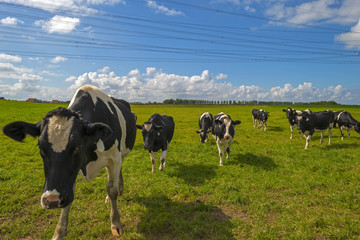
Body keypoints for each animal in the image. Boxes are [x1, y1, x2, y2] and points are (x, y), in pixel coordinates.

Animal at [1, 85, 136, 239]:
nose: (52, 200)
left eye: (77, 146)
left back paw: (119, 189)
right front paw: (59, 232)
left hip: (121, 155)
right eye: (41, 147)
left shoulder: (114, 159)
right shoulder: (69, 177)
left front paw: (115, 223)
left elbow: (112, 189)